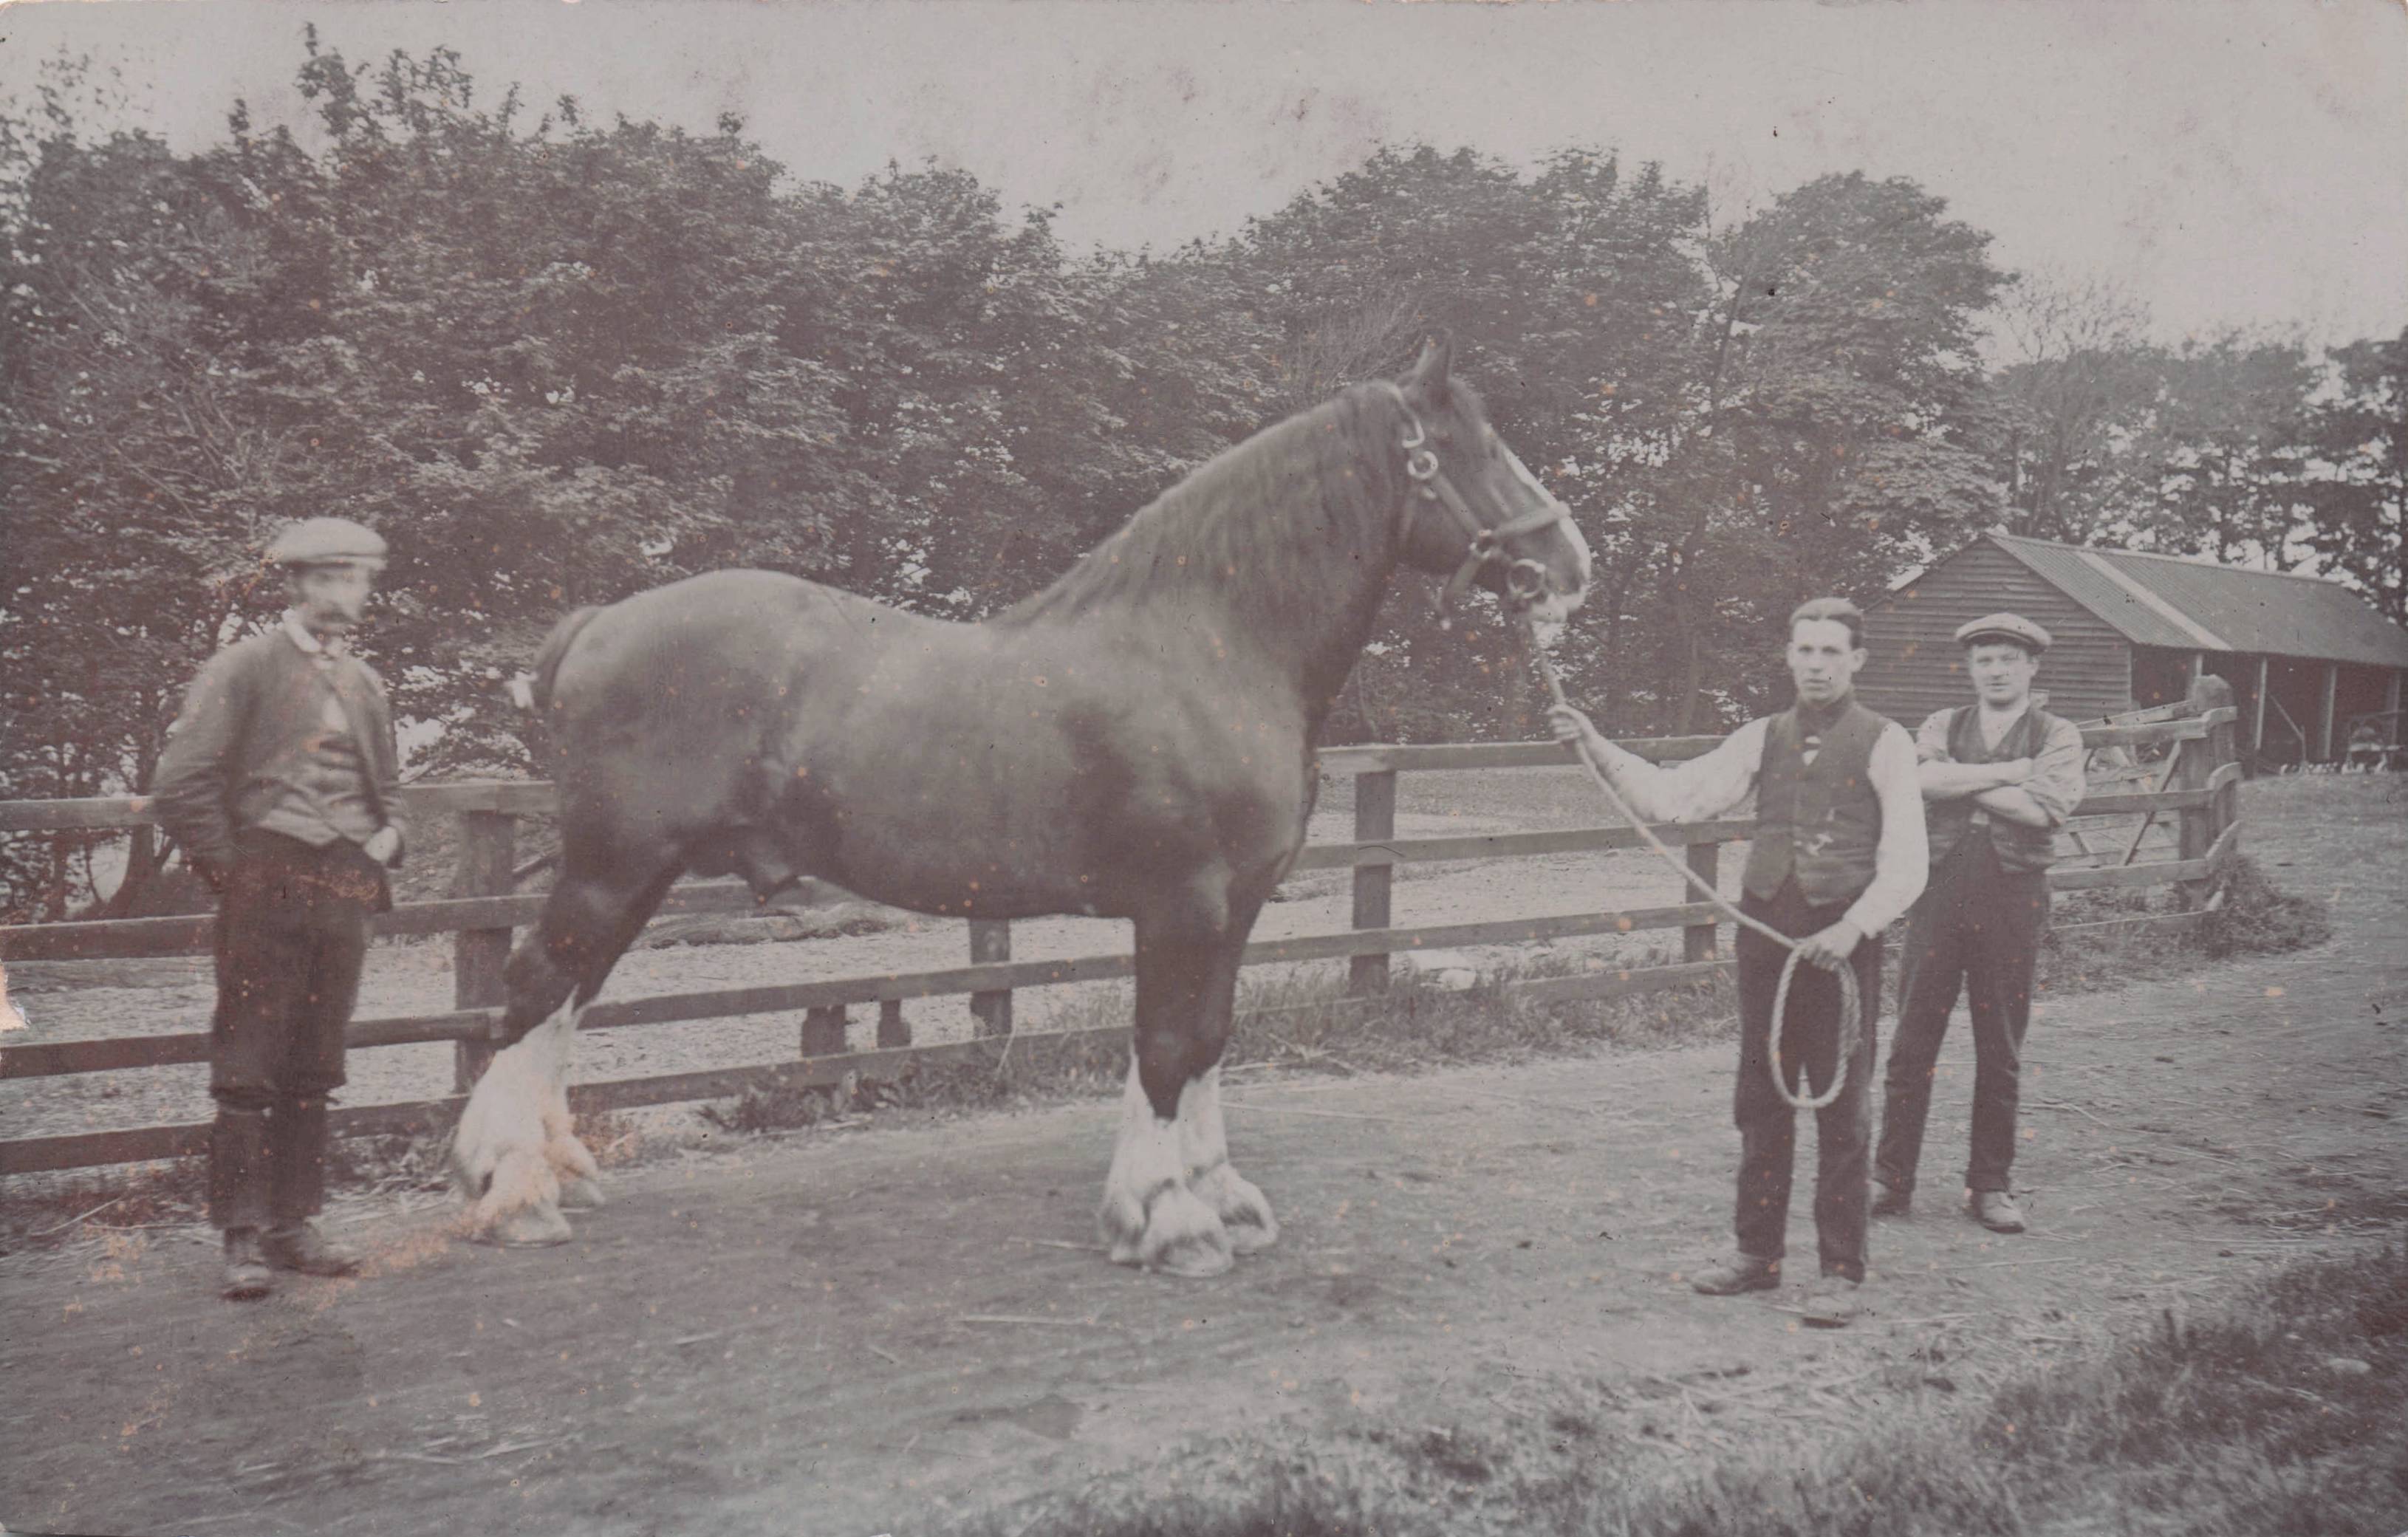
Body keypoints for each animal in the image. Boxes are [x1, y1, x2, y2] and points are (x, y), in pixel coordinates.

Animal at [450, 336, 1591, 1275]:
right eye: (1477, 447)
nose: (1569, 565)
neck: (1205, 643)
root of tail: (598, 624)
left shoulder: (1235, 908)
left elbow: (1210, 1040)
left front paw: (1216, 1200)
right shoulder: (1181, 904)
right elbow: (1166, 1045)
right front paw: (1167, 1221)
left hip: (638, 874)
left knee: (567, 998)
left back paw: (550, 1176)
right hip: (612, 866)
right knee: (536, 989)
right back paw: (513, 1195)